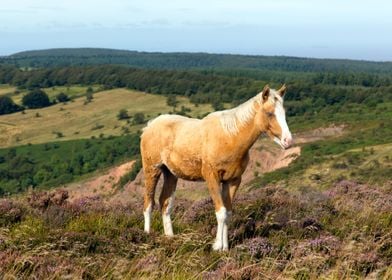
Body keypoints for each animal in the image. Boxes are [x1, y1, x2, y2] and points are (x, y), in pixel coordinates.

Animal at [140, 84, 290, 250]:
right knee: (149, 203)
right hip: (152, 169)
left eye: (284, 112)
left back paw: (170, 238)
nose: (288, 141)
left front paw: (225, 248)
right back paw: (147, 235)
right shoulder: (211, 177)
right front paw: (217, 247)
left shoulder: (233, 180)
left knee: (165, 203)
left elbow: (228, 213)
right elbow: (221, 212)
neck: (229, 137)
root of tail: (149, 126)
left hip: (171, 174)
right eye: (269, 113)